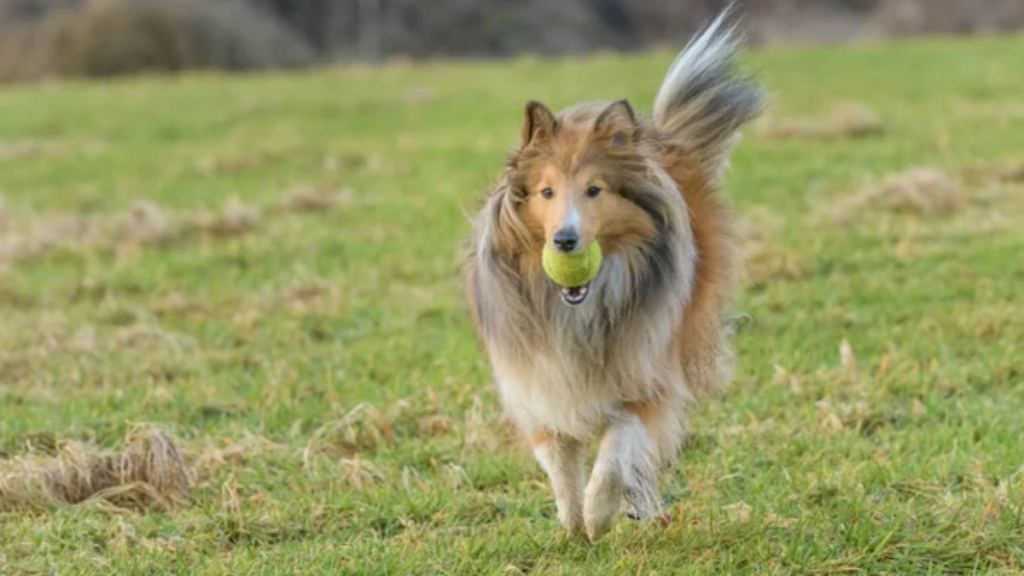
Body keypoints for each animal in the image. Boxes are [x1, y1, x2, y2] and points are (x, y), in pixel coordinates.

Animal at [460, 7, 765, 537]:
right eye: (546, 192)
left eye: (595, 190)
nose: (565, 241)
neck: (577, 308)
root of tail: (661, 139)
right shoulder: (538, 381)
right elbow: (560, 463)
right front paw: (572, 523)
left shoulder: (645, 371)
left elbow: (619, 444)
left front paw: (599, 512)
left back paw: (639, 504)